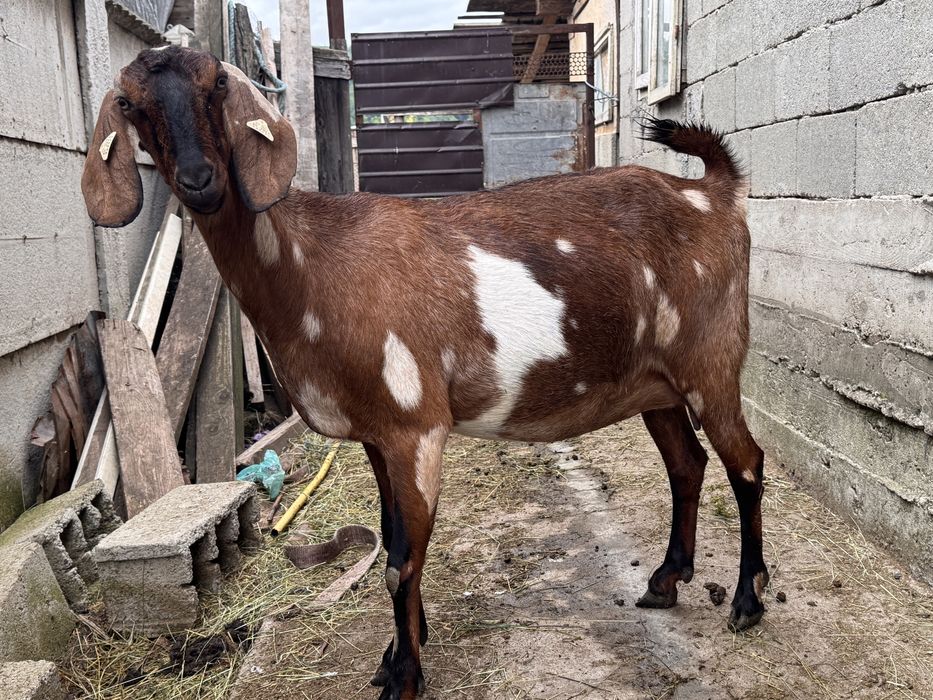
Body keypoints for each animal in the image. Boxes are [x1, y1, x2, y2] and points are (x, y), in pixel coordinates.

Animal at [82, 47, 768, 700]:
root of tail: (716, 194)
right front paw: (397, 654)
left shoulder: (415, 427)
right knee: (688, 465)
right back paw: (666, 580)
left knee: (745, 463)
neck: (312, 267)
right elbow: (390, 542)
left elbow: (401, 562)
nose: (199, 180)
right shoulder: (376, 436)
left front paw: (404, 677)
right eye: (131, 104)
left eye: (217, 85)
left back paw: (747, 600)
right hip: (656, 382)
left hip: (712, 360)